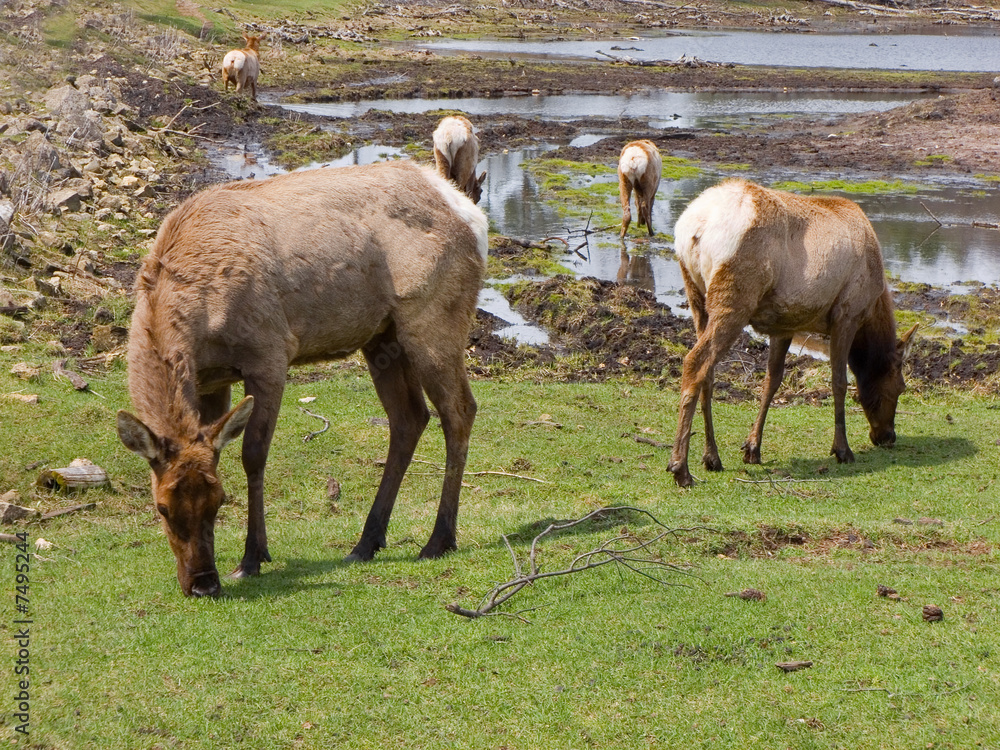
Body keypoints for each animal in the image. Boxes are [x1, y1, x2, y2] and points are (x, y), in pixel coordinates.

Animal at [116, 161, 488, 597]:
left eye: (219, 500)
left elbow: (253, 454)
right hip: (382, 336)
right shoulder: (210, 379)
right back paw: (366, 542)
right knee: (410, 417)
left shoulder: (269, 354)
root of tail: (471, 214)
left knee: (459, 410)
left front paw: (253, 558)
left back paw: (438, 540)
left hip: (433, 318)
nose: (204, 584)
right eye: (162, 507)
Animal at [668, 178, 917, 488]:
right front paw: (842, 449)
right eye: (901, 386)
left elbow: (771, 381)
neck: (872, 310)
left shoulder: (784, 324)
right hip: (736, 295)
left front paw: (752, 448)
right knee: (695, 362)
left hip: (695, 295)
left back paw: (711, 457)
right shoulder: (847, 314)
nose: (887, 436)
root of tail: (694, 227)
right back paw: (680, 468)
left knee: (708, 372)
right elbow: (839, 382)